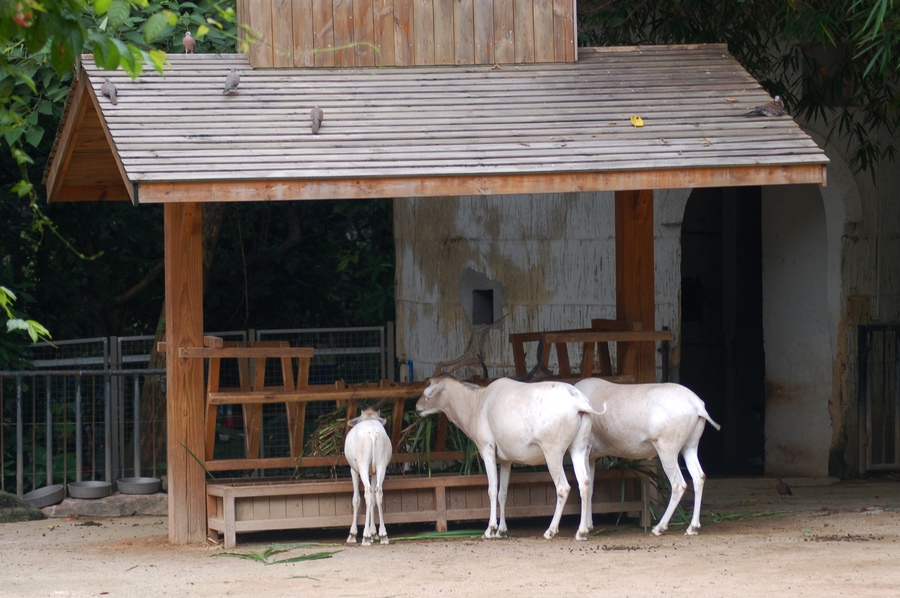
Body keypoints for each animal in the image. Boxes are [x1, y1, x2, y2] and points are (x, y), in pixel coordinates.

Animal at [342, 404, 392, 548]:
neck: (369, 418)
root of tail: (373, 433)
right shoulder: (373, 472)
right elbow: (374, 500)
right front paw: (374, 533)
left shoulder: (353, 470)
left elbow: (356, 499)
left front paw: (353, 535)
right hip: (381, 466)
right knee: (378, 492)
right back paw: (383, 535)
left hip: (363, 466)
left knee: (368, 492)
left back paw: (365, 537)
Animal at [576, 380, 724, 540]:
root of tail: (697, 405)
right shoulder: (591, 457)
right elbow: (591, 488)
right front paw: (589, 525)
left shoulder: (585, 451)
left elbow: (584, 484)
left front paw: (584, 529)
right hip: (690, 447)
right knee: (699, 477)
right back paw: (692, 527)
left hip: (667, 451)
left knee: (678, 484)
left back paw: (659, 528)